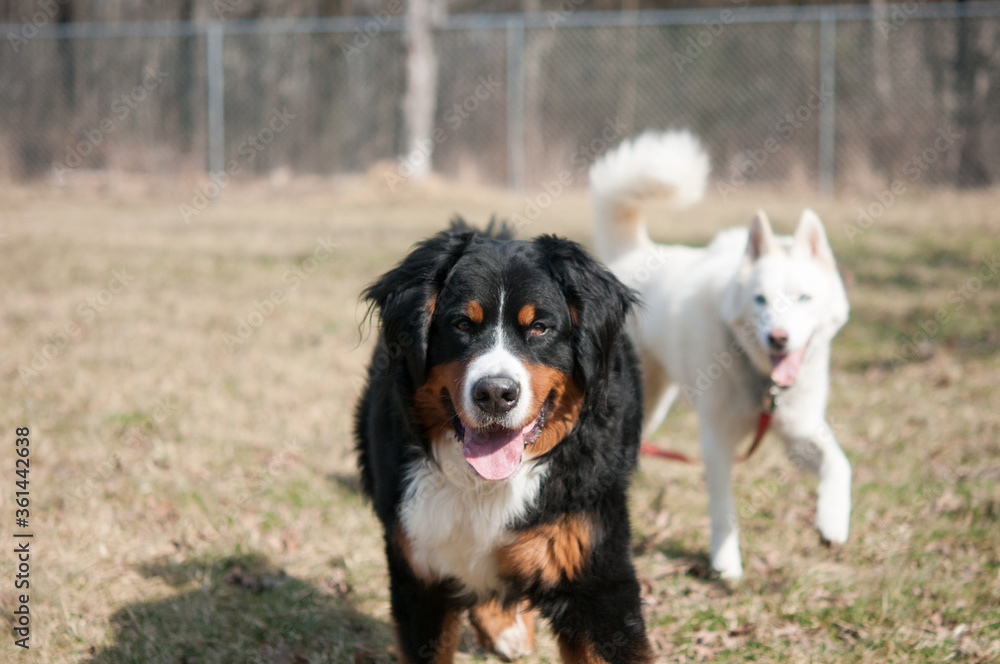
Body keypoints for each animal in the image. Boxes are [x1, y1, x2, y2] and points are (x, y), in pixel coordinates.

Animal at [356, 222, 652, 664]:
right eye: (462, 324)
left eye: (539, 327)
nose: (495, 393)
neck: (485, 484)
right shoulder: (421, 572)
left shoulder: (595, 580)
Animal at [588, 132, 856, 580]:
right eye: (761, 299)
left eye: (803, 298)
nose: (778, 338)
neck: (760, 378)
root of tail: (633, 253)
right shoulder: (717, 442)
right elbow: (723, 509)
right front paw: (725, 562)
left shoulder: (799, 432)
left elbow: (840, 464)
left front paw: (831, 521)